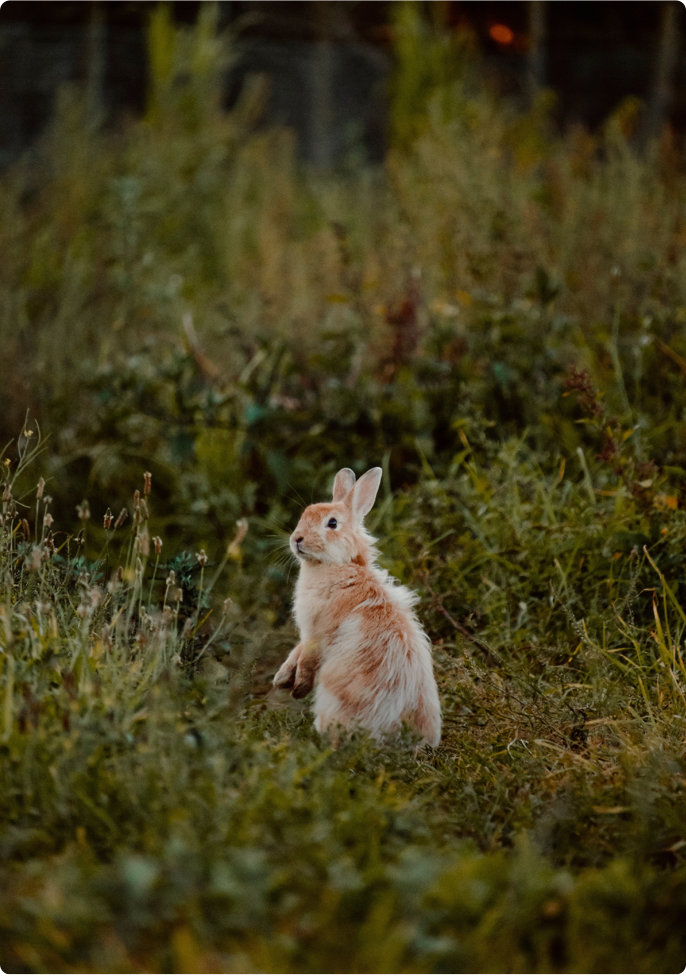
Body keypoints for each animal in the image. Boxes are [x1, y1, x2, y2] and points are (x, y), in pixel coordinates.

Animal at [272, 466, 444, 748]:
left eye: (332, 523)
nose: (296, 539)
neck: (340, 565)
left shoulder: (316, 633)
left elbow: (307, 659)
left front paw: (297, 688)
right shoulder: (307, 633)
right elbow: (295, 652)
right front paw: (281, 680)